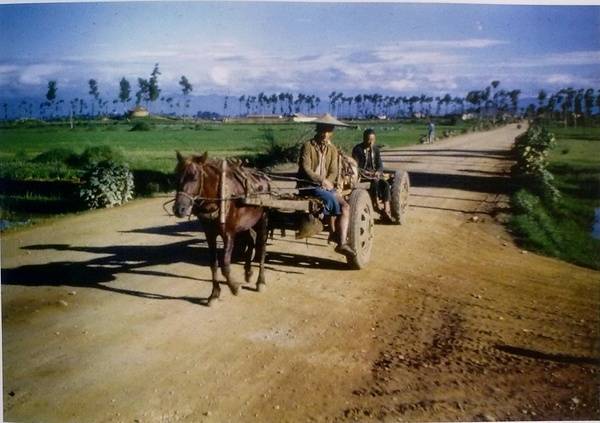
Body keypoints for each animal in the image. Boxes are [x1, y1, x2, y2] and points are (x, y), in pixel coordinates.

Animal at [172, 151, 268, 306]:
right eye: (176, 177)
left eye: (194, 177)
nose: (179, 209)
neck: (220, 199)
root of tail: (264, 177)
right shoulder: (210, 234)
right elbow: (214, 264)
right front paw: (214, 294)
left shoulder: (228, 234)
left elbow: (225, 266)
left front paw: (235, 287)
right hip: (245, 224)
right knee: (250, 241)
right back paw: (248, 272)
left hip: (263, 218)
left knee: (262, 246)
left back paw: (261, 281)